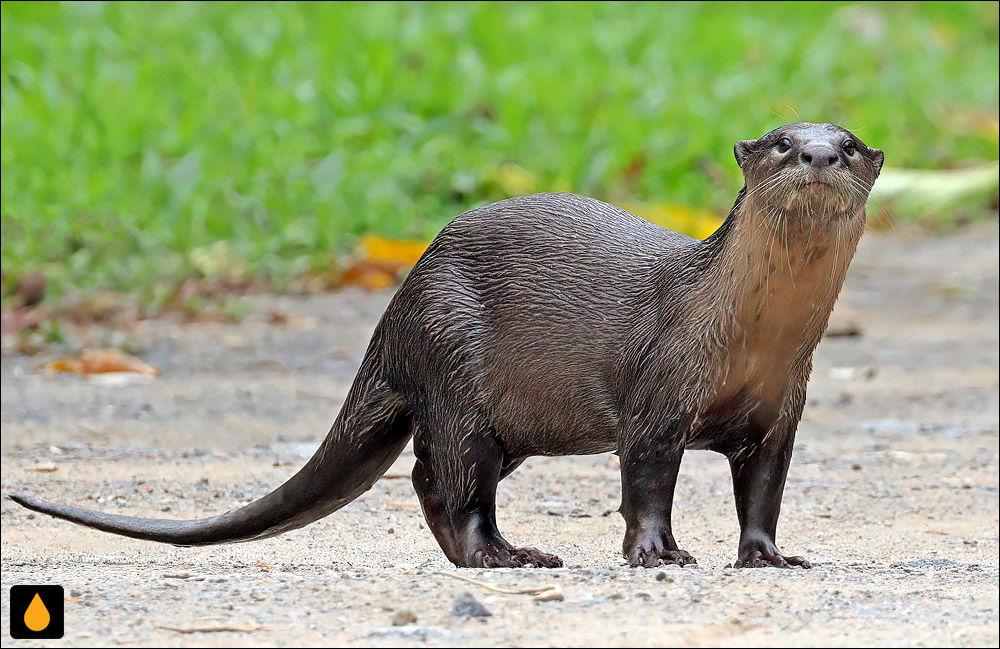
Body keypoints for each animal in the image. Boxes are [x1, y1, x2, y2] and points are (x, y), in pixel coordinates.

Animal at [9, 121, 884, 568]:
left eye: (847, 143)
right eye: (781, 142)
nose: (817, 154)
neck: (751, 337)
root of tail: (400, 302)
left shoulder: (780, 412)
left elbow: (764, 492)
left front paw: (768, 555)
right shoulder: (660, 391)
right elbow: (646, 482)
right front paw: (658, 553)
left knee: (443, 481)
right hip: (454, 357)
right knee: (450, 475)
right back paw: (502, 555)